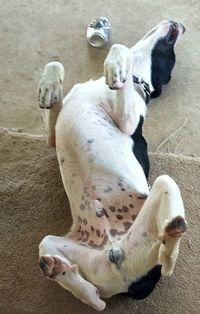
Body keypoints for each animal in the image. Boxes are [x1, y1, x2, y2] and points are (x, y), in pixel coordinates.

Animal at [38, 20, 187, 312]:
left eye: (170, 55)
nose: (179, 24)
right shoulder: (50, 138)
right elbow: (55, 65)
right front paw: (49, 86)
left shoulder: (128, 121)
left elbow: (120, 49)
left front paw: (115, 66)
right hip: (71, 253)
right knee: (96, 300)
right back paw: (60, 270)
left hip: (158, 200)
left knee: (168, 197)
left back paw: (170, 248)